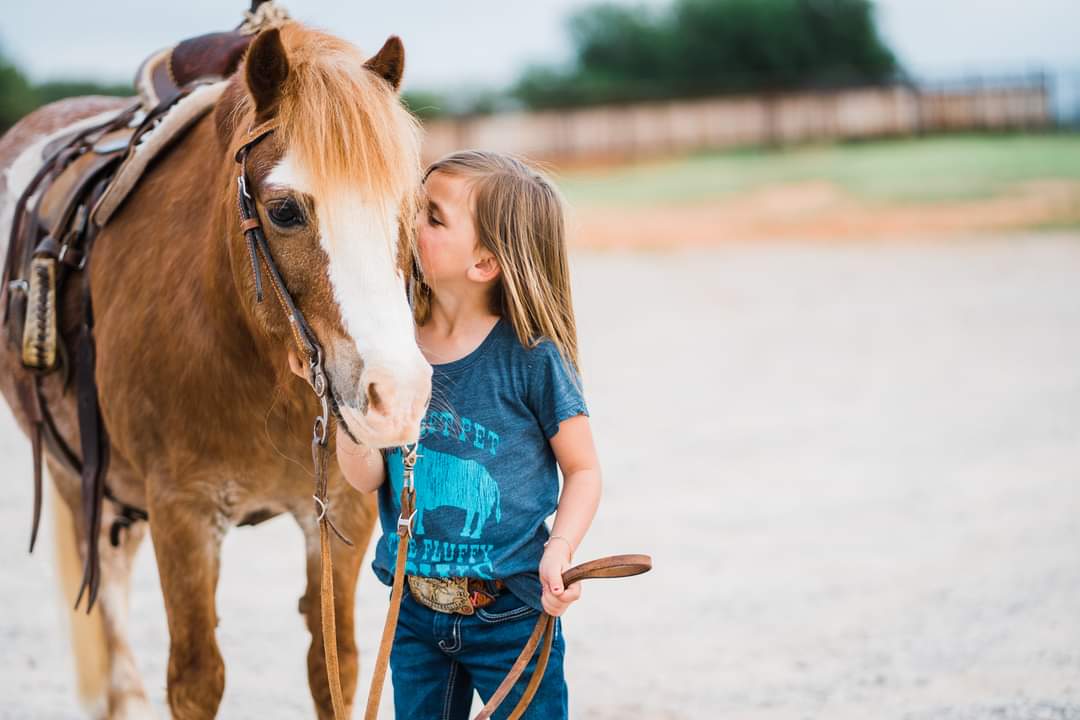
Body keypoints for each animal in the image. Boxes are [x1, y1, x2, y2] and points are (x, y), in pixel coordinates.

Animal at [0, 22, 431, 718]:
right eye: (284, 211)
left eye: (413, 205)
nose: (397, 395)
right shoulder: (183, 514)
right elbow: (196, 678)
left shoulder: (342, 509)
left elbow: (333, 667)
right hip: (80, 485)